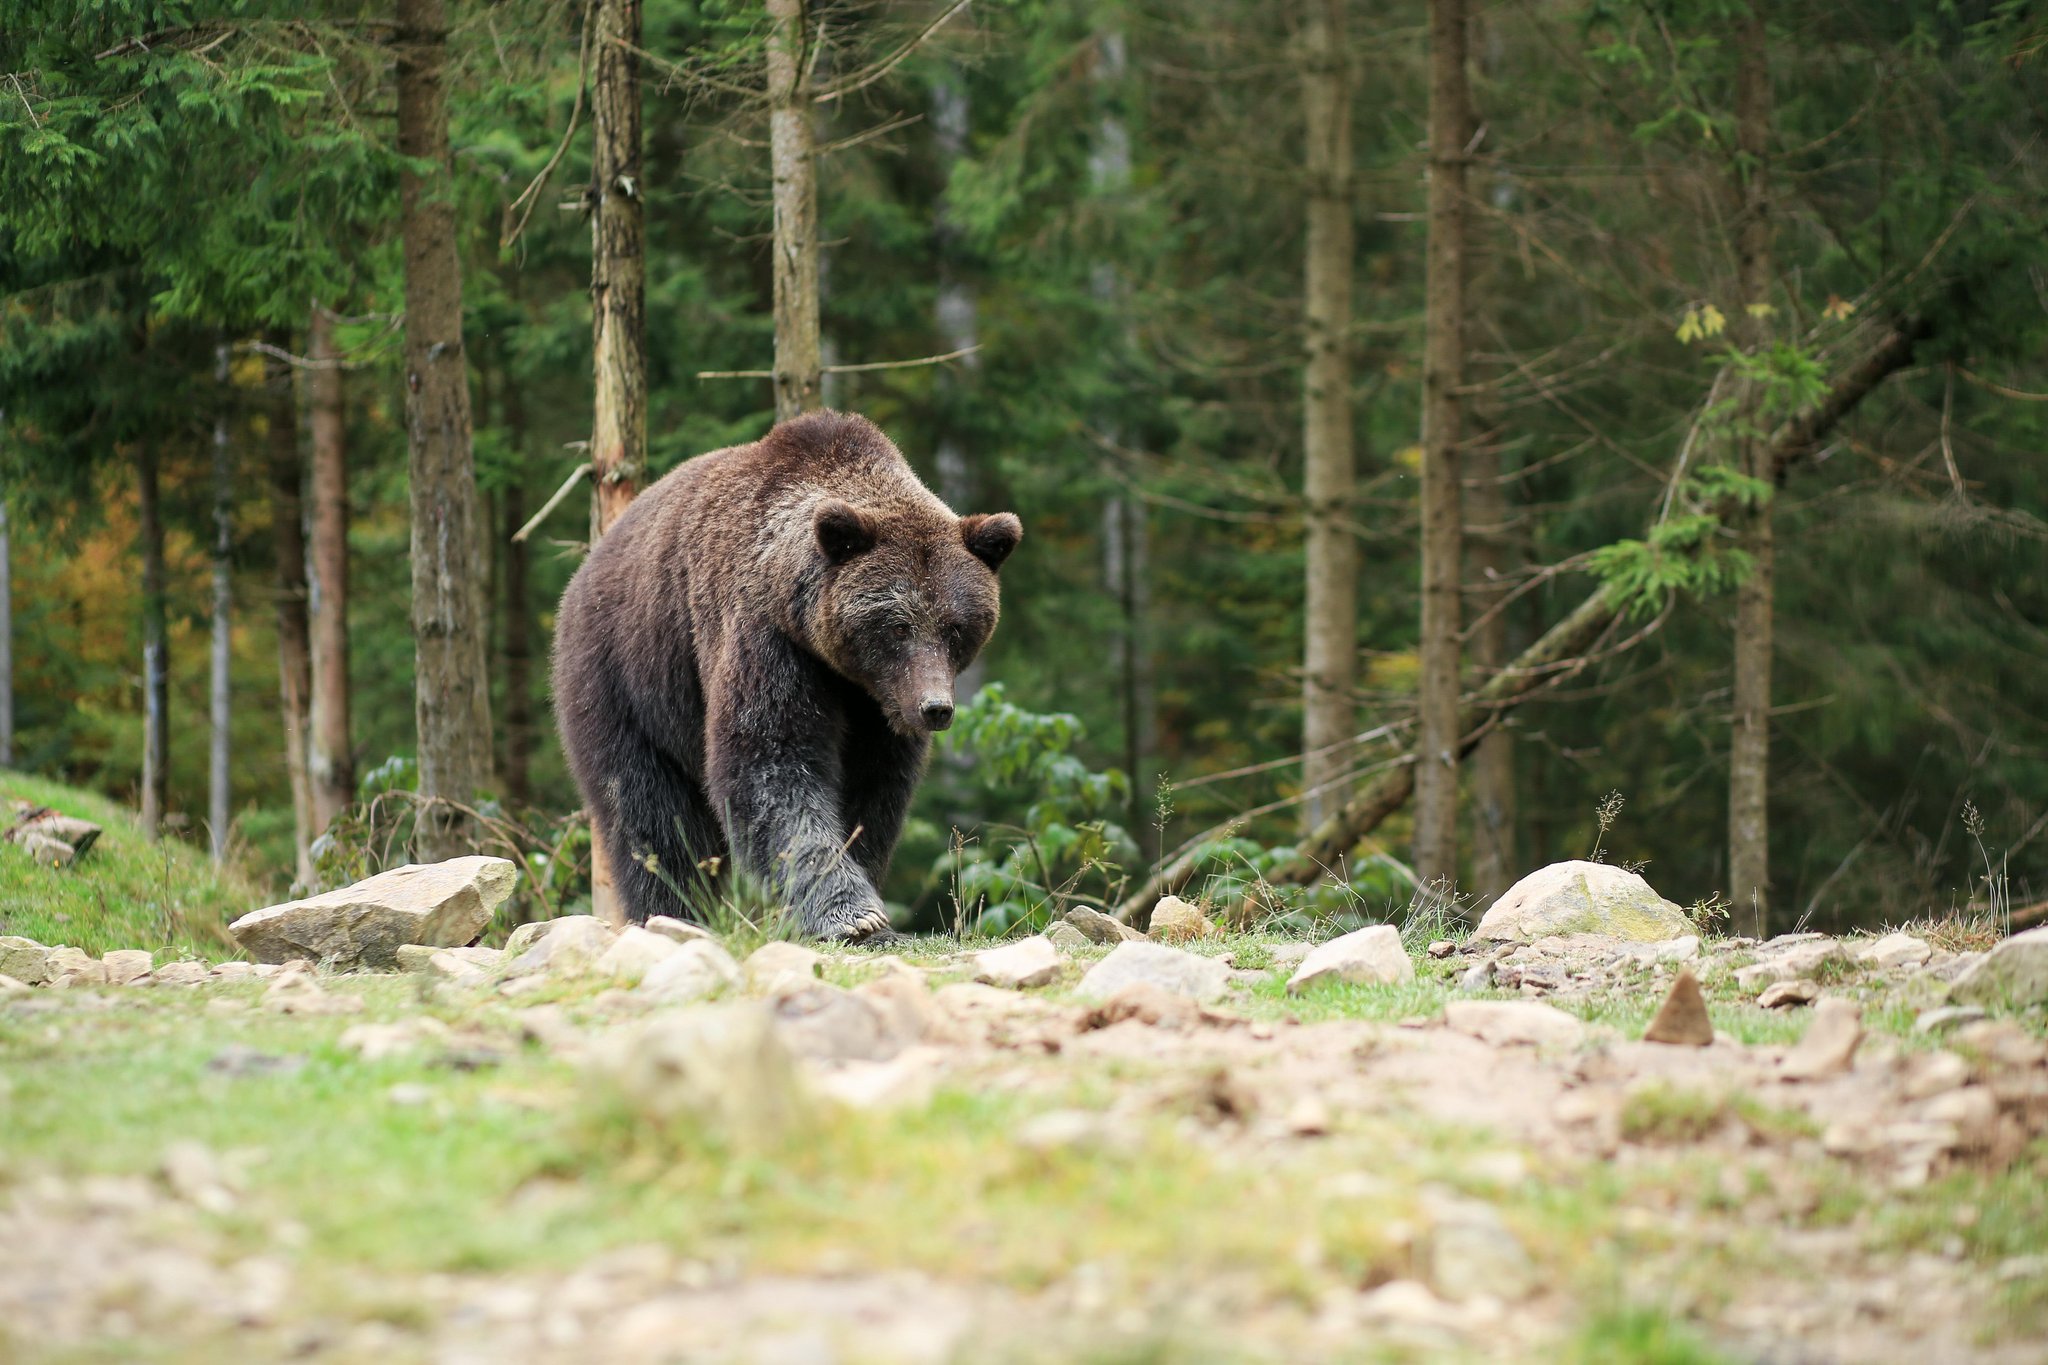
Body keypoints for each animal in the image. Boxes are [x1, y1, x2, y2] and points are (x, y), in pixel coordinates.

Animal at [551, 410, 1022, 941]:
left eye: (955, 627)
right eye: (899, 625)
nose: (935, 707)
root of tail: (589, 565)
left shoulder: (876, 706)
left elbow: (872, 789)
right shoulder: (766, 639)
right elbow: (770, 759)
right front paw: (852, 913)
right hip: (626, 673)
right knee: (648, 810)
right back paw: (672, 910)